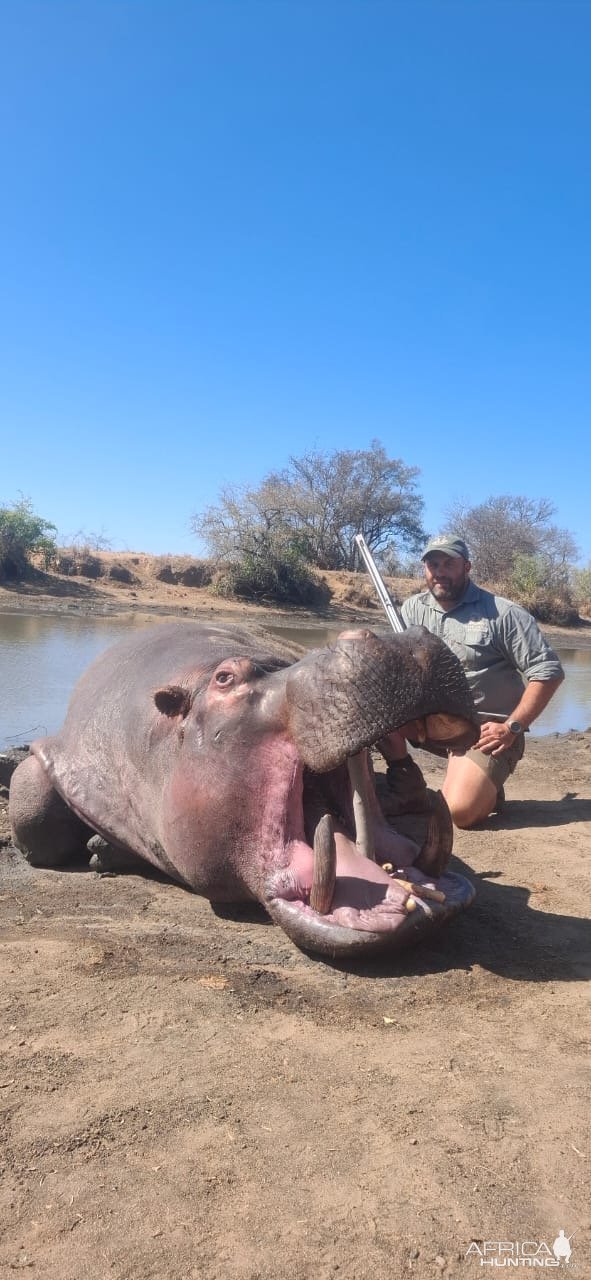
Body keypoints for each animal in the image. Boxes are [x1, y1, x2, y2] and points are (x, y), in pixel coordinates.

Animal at [8, 619, 480, 962]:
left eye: (298, 657)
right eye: (225, 678)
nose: (398, 639)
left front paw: (100, 851)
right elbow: (34, 804)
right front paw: (96, 849)